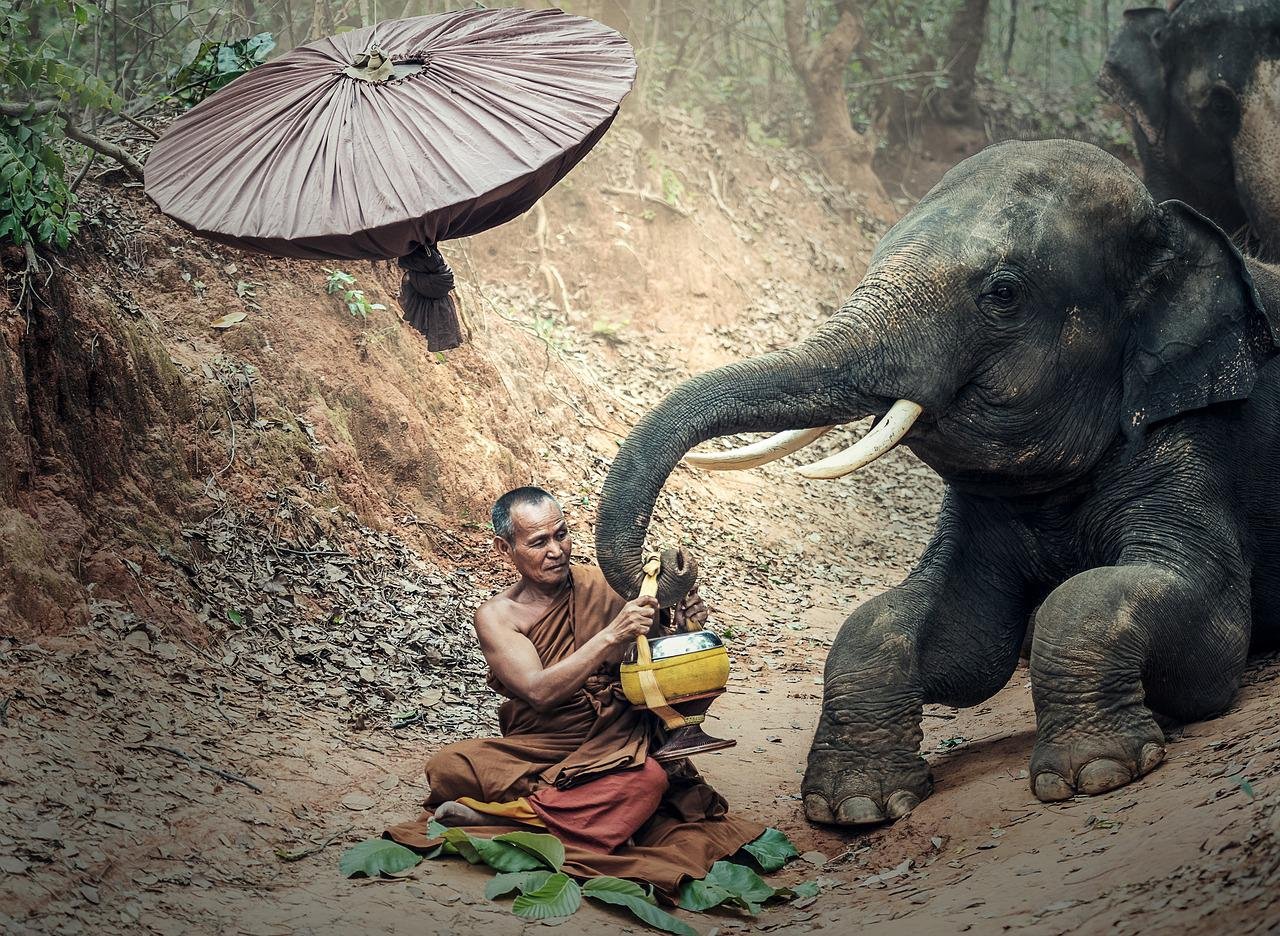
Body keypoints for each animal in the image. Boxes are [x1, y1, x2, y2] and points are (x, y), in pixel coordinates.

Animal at [593, 139, 1280, 826]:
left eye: (1003, 293)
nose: (668, 563)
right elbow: (943, 634)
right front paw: (856, 806)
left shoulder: (1200, 438)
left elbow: (1190, 625)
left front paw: (1095, 773)